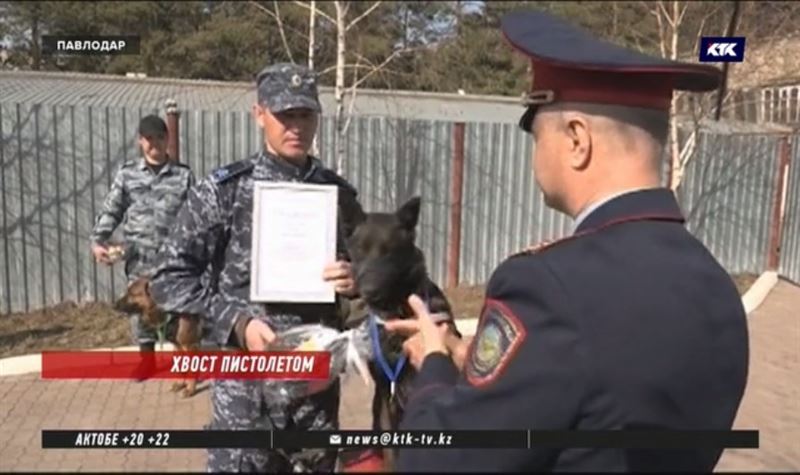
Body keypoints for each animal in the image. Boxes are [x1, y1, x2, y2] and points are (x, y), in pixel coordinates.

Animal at [340, 197, 462, 472]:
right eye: (360, 250)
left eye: (389, 251)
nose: (369, 292)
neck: (398, 312)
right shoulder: (387, 397)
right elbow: (391, 455)